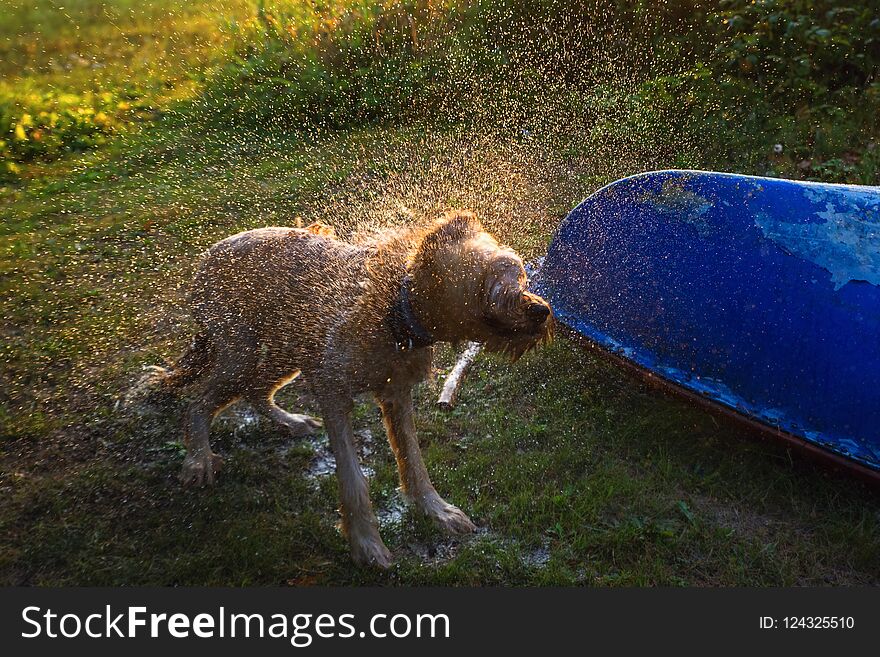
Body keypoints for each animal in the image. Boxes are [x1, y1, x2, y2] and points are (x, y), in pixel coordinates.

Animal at [150, 209, 552, 564]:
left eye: (517, 273)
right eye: (494, 290)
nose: (542, 310)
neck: (393, 308)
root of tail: (207, 257)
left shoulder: (396, 395)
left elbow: (414, 463)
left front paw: (436, 511)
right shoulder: (333, 392)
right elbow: (353, 480)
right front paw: (366, 545)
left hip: (285, 349)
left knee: (256, 391)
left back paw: (291, 422)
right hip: (241, 352)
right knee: (200, 401)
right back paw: (198, 460)